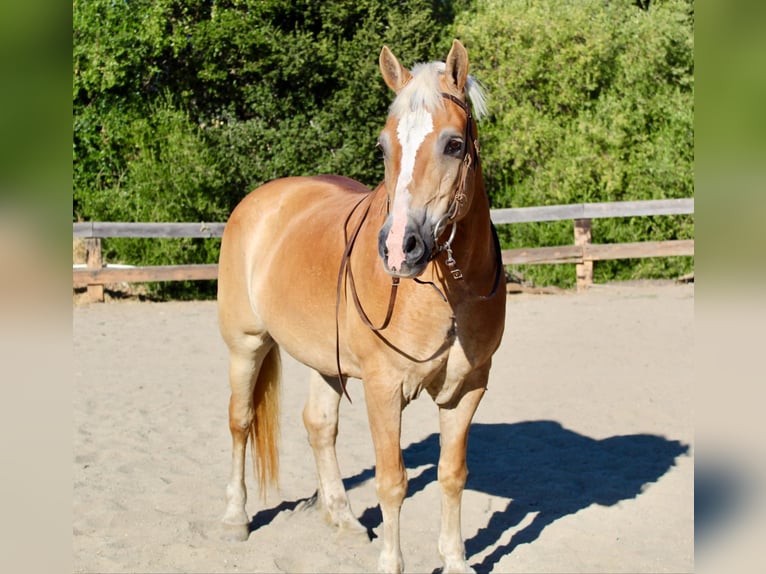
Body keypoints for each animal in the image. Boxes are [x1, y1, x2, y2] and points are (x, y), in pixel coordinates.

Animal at [218, 40, 504, 574]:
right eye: (384, 146)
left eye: (454, 145)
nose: (398, 249)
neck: (447, 296)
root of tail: (261, 199)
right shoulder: (383, 388)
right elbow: (392, 482)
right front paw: (392, 563)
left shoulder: (467, 390)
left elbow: (452, 474)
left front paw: (455, 560)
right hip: (246, 345)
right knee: (240, 421)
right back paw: (234, 518)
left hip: (325, 360)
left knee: (319, 425)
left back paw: (343, 517)